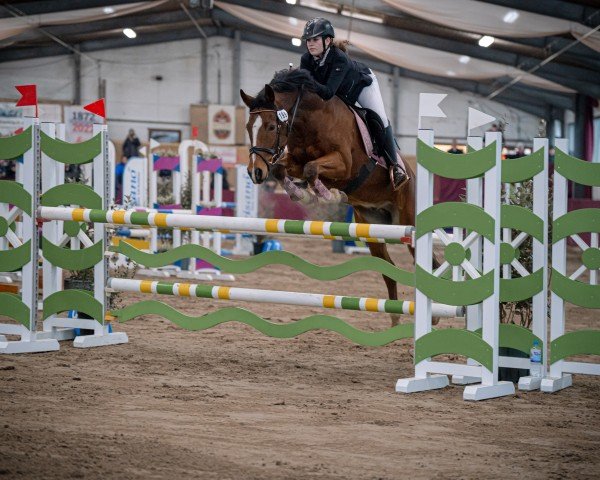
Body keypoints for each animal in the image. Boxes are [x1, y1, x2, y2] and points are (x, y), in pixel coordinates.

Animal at [239, 67, 422, 326]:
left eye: (271, 127)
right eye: (248, 127)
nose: (255, 172)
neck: (310, 120)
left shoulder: (343, 164)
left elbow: (311, 169)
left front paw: (327, 195)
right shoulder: (294, 160)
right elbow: (284, 169)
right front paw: (302, 193)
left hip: (408, 220)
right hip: (373, 230)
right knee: (388, 270)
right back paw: (396, 320)